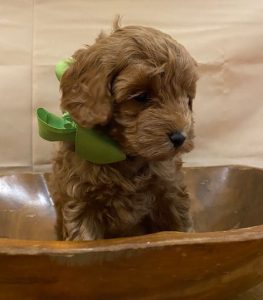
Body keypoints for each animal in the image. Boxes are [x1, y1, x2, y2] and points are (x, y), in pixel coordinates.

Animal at [49, 19, 198, 241]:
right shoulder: (81, 200)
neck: (124, 155)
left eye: (187, 98)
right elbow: (84, 238)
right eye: (142, 97)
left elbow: (181, 226)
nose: (180, 137)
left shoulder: (170, 191)